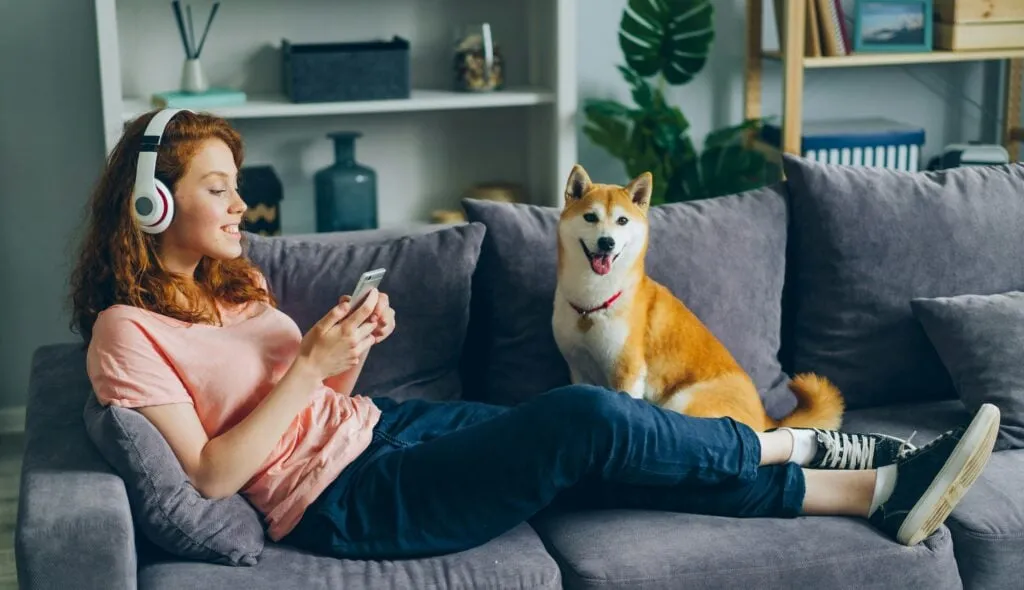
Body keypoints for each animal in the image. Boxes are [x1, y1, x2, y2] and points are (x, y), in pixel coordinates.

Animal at [557, 163, 843, 430]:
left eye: (622, 221)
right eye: (590, 217)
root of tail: (766, 420)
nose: (607, 242)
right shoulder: (578, 369)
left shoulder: (627, 371)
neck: (593, 302)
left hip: (683, 400)